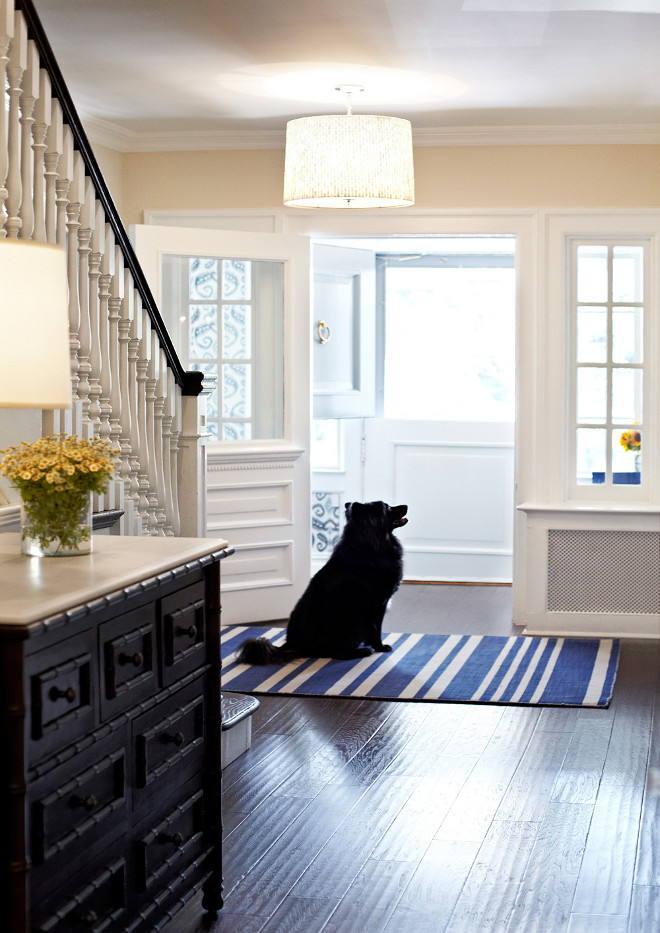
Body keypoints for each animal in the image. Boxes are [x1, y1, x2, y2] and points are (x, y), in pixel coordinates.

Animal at [232, 502, 408, 664]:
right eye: (387, 507)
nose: (406, 505)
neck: (369, 543)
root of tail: (292, 644)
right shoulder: (376, 605)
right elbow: (376, 630)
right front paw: (380, 647)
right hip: (350, 618)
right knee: (336, 653)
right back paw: (362, 652)